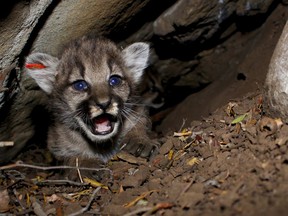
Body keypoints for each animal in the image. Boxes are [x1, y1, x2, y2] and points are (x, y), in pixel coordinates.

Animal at [25, 35, 159, 164]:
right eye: (80, 85)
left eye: (114, 80)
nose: (104, 104)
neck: (103, 145)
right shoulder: (56, 143)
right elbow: (71, 157)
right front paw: (86, 164)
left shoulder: (139, 111)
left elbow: (140, 122)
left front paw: (139, 141)